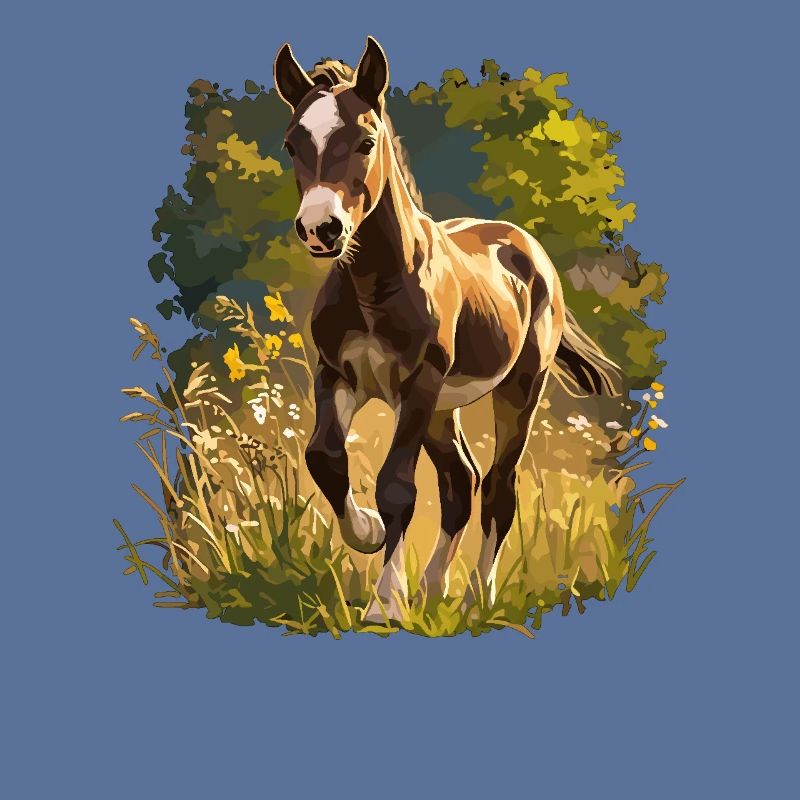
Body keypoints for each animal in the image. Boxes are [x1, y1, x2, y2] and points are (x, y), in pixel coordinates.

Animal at [273, 36, 621, 623]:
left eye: (365, 141)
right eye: (292, 143)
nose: (321, 229)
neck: (375, 286)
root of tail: (528, 250)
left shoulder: (418, 384)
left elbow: (397, 487)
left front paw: (385, 605)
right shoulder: (339, 376)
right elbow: (325, 457)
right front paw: (367, 533)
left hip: (516, 389)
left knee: (498, 488)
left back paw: (479, 598)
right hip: (442, 410)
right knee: (461, 480)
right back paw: (435, 590)